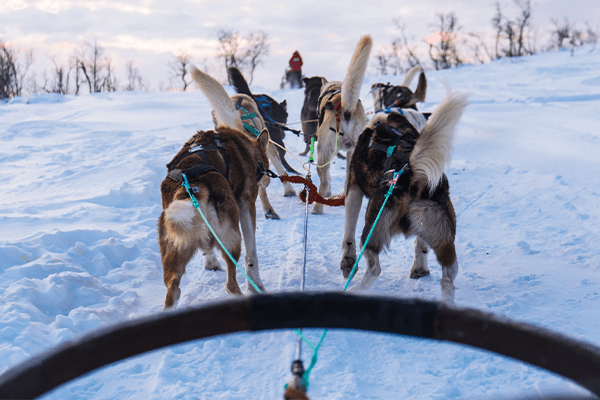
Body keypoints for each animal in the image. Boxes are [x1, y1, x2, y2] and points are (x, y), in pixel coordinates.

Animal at [312, 34, 372, 216]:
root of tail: (346, 108)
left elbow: (326, 179)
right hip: (354, 155)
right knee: (348, 181)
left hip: (324, 153)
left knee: (323, 182)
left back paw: (317, 208)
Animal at [338, 89, 468, 304]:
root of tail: (410, 177)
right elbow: (421, 246)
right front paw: (419, 268)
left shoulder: (354, 188)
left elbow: (348, 230)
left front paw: (348, 262)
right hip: (441, 232)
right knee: (448, 277)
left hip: (372, 227)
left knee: (375, 268)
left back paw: (353, 291)